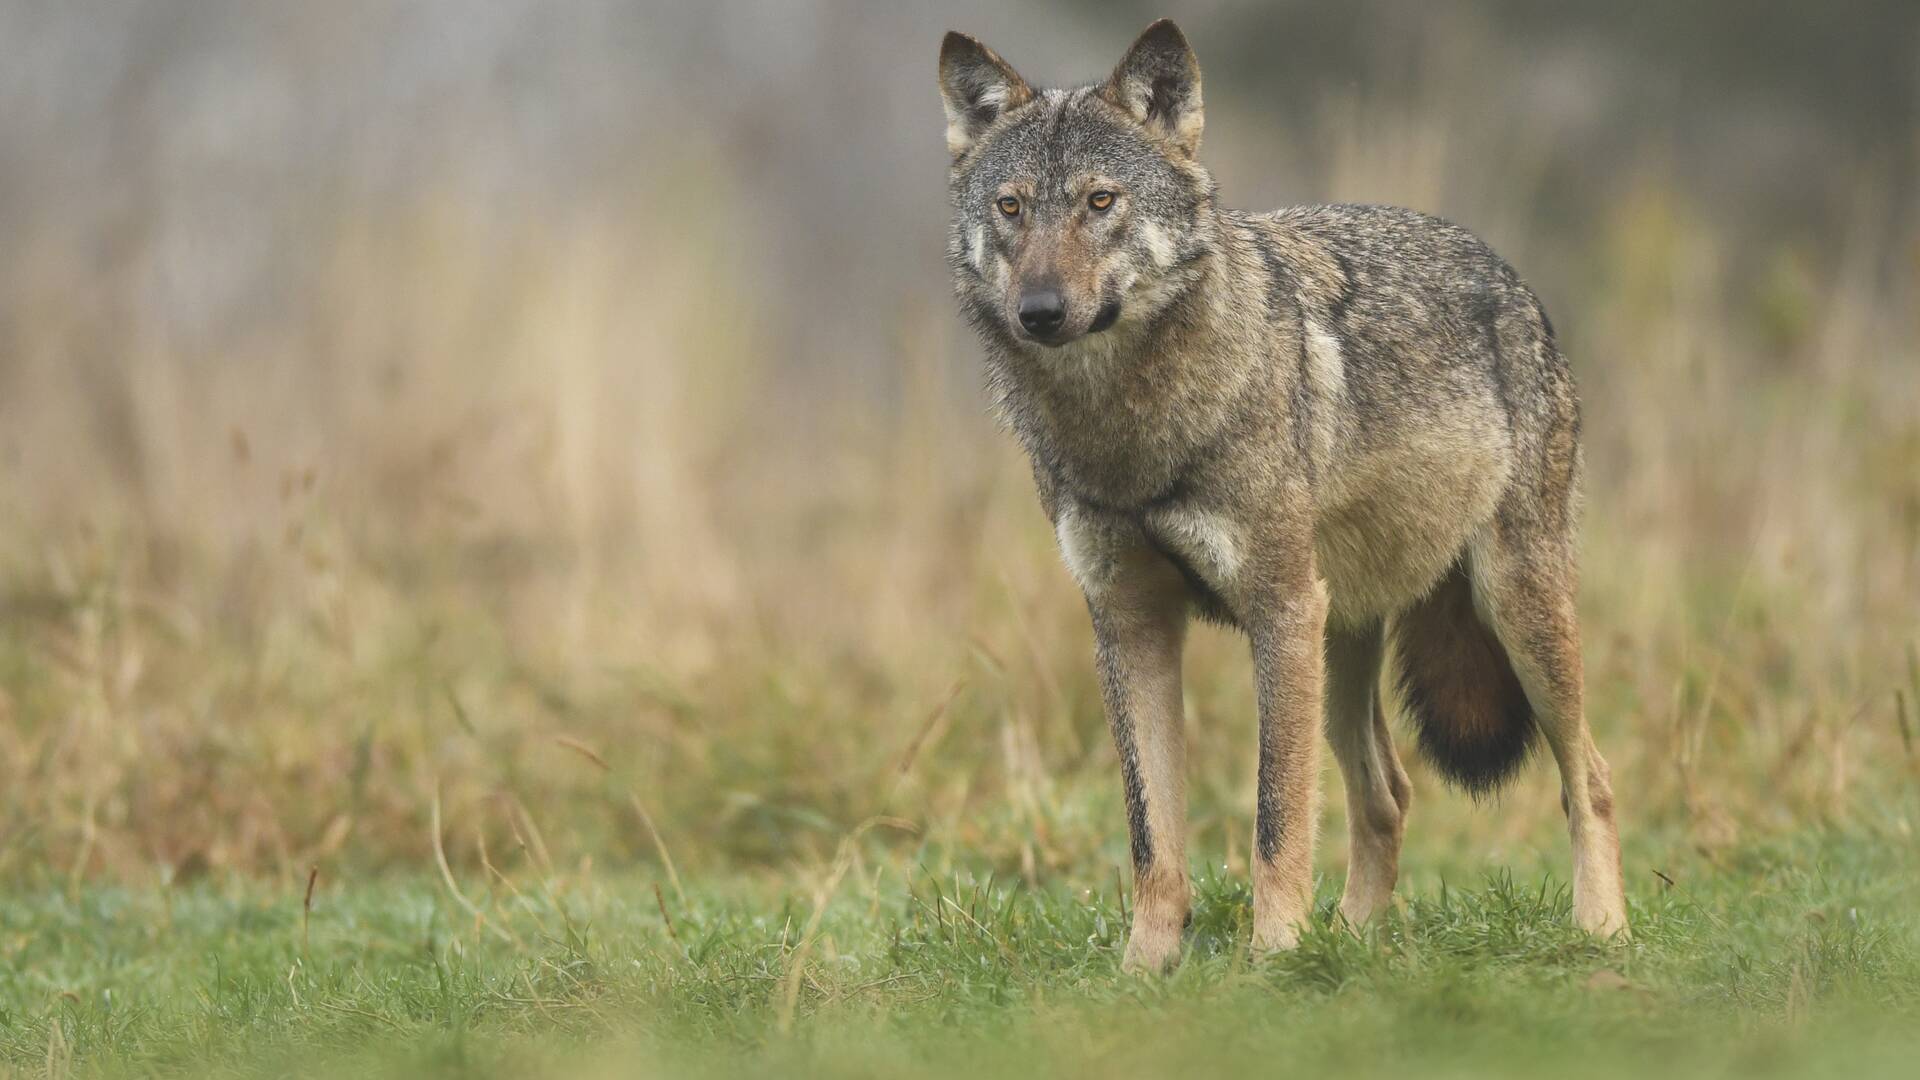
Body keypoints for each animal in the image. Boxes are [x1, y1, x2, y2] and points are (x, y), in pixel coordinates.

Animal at [938, 19, 1627, 971]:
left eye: (1101, 203)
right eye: (1012, 208)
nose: (1039, 309)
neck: (1128, 432)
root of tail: (1509, 276)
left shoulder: (1277, 606)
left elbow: (1275, 815)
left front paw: (1271, 960)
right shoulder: (1129, 622)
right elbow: (1153, 835)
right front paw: (1146, 969)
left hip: (1506, 611)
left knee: (1588, 776)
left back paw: (1601, 931)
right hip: (1341, 642)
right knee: (1389, 793)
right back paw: (1356, 942)